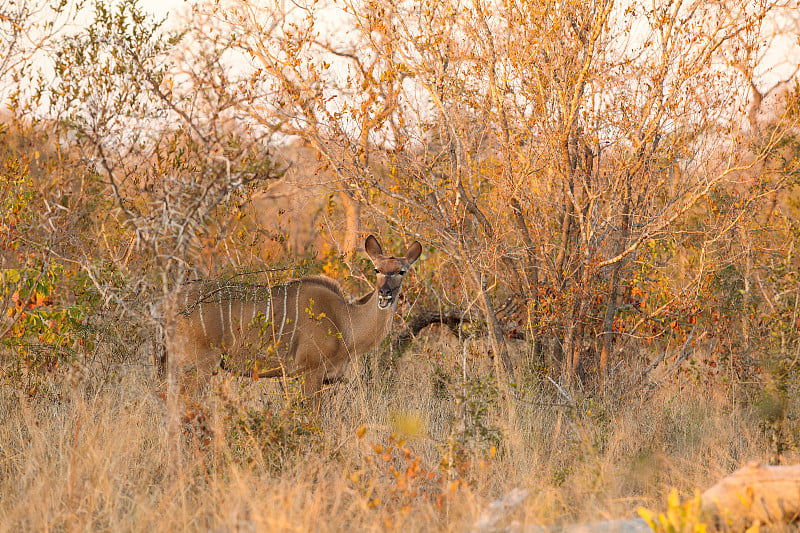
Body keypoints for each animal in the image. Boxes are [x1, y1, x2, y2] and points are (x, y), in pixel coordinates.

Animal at [167, 235, 418, 402]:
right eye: (377, 270)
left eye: (401, 271)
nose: (385, 294)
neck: (344, 321)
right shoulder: (311, 371)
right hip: (200, 364)